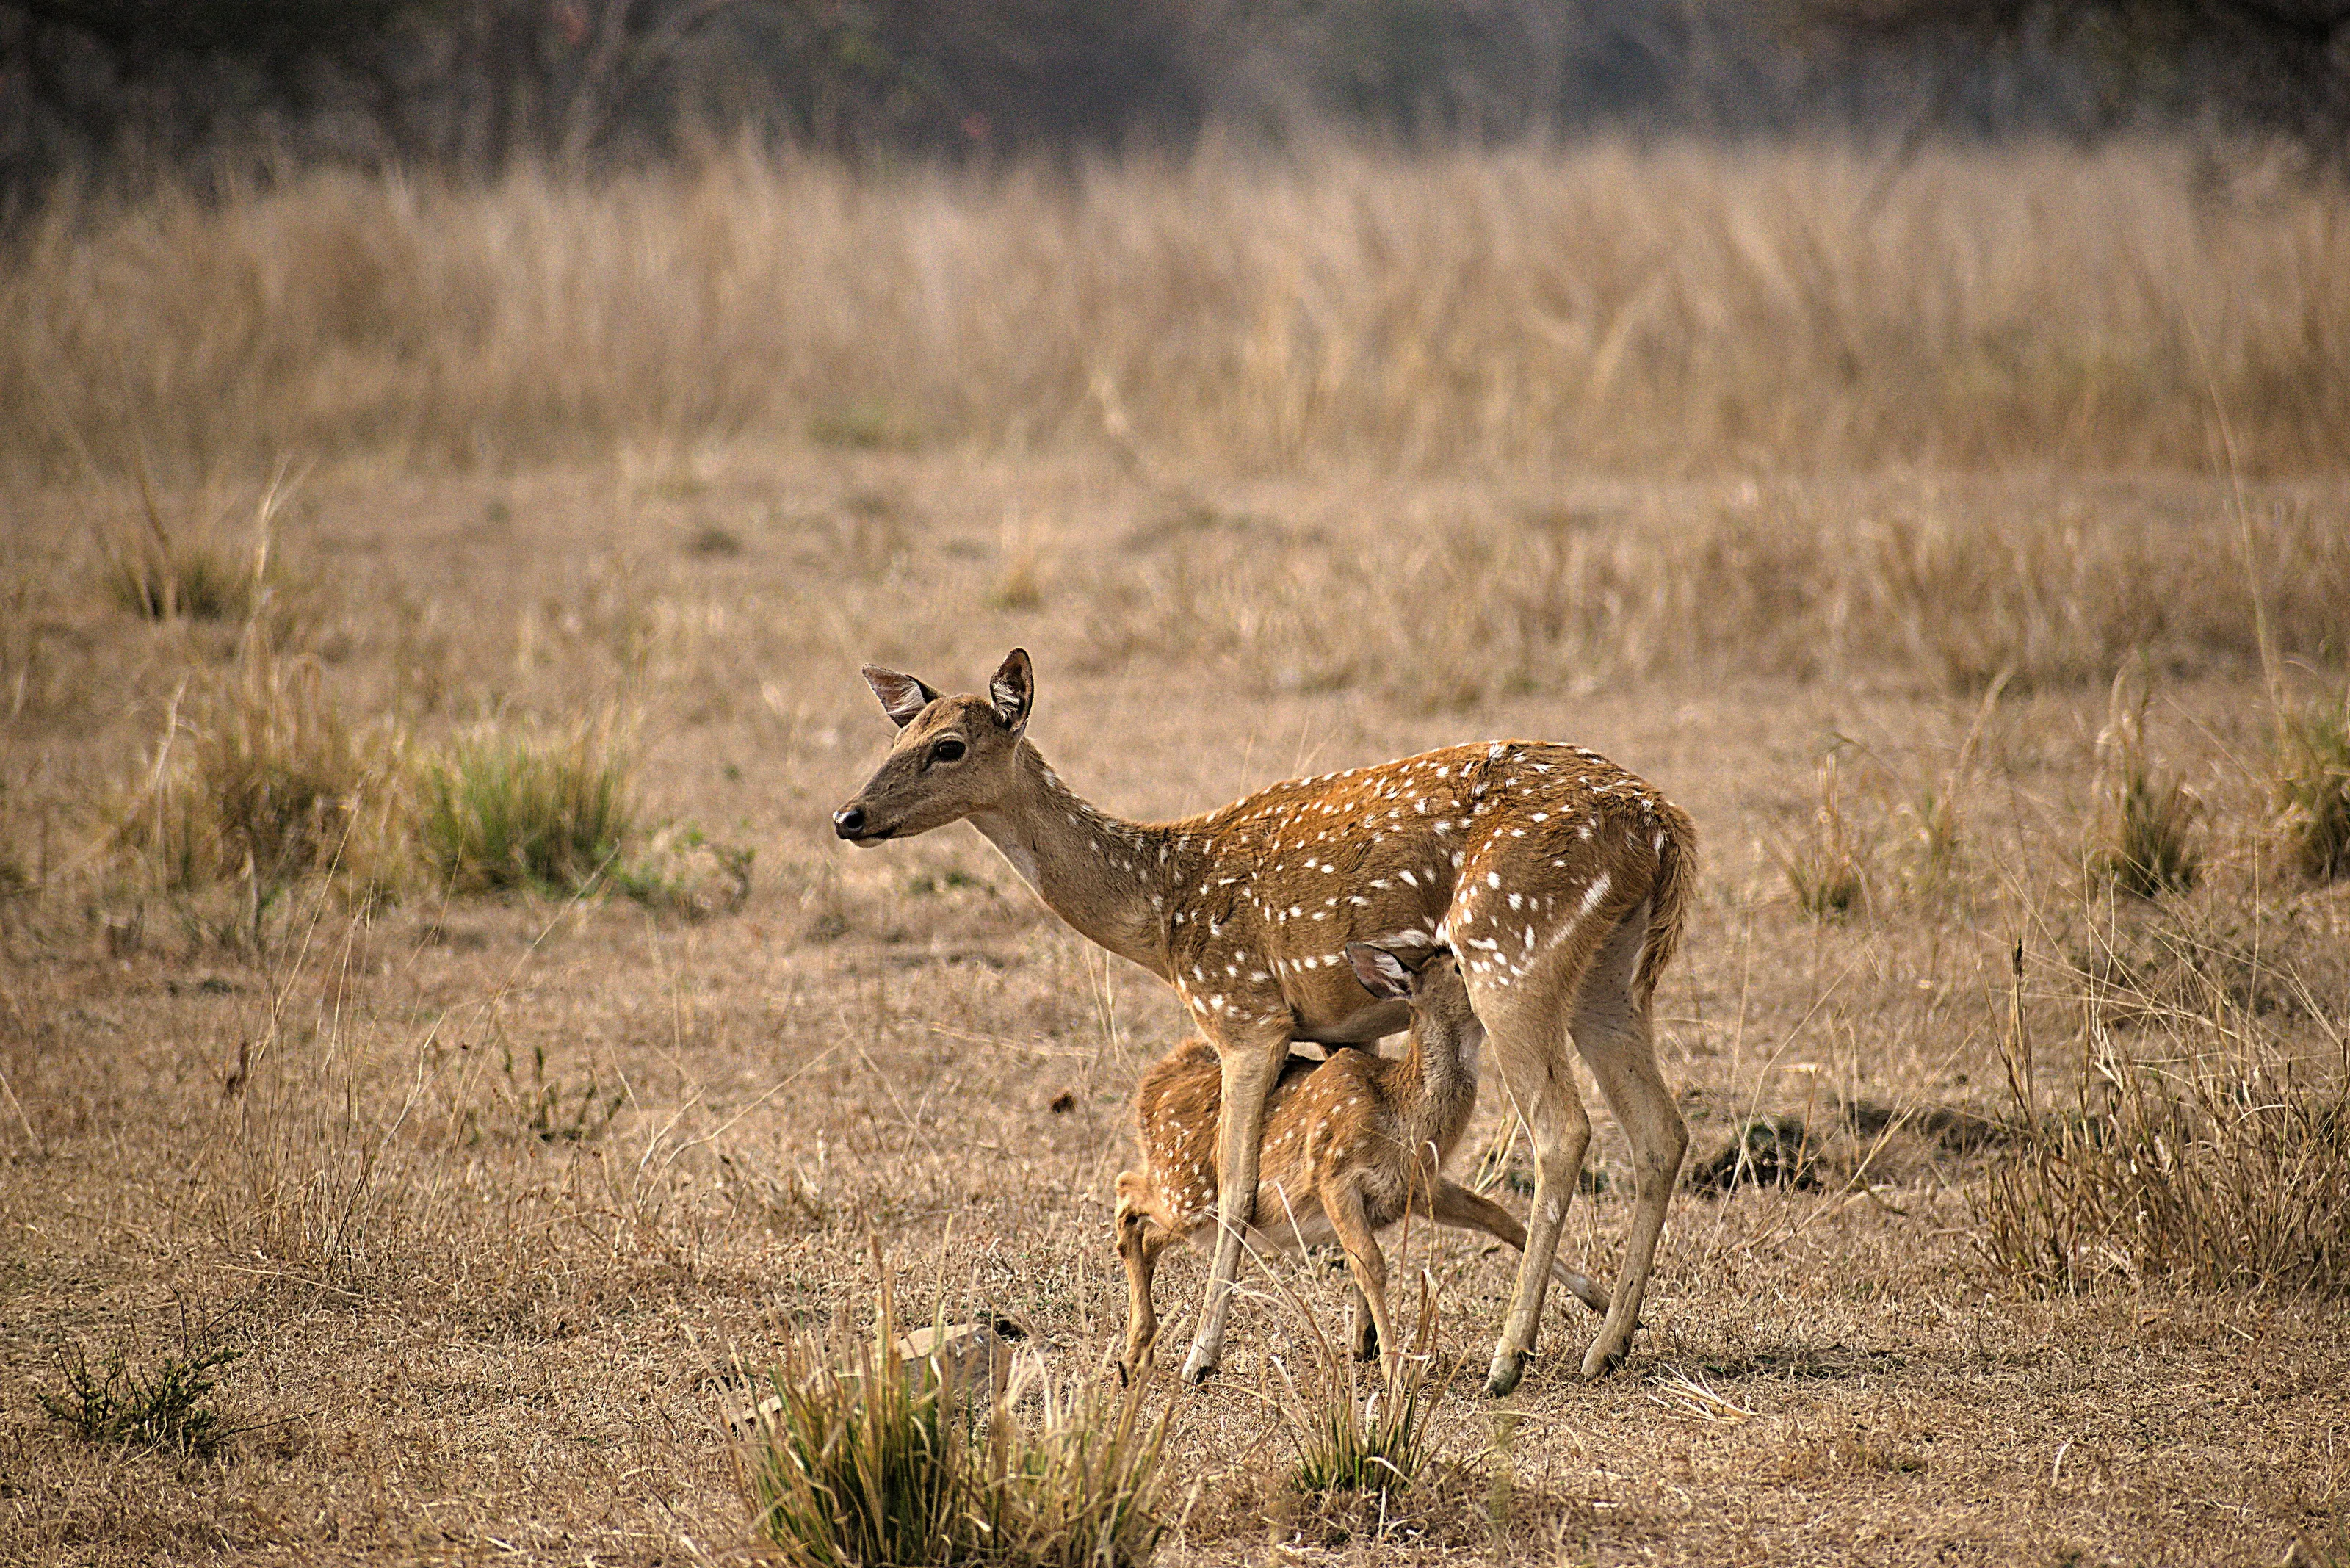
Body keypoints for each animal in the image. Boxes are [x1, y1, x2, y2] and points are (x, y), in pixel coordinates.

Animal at [1115, 941, 1609, 1384]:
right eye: (1456, 965)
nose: (1519, 979)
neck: (1402, 1117)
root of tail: (1153, 1084)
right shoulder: (1334, 1176)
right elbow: (1371, 1263)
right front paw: (1394, 1369)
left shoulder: (1418, 1186)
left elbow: (1500, 1217)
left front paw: (1600, 1299)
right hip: (1188, 1191)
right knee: (1127, 1192)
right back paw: (1136, 1349)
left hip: (1192, 1207)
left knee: (1149, 1230)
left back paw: (1137, 1351)